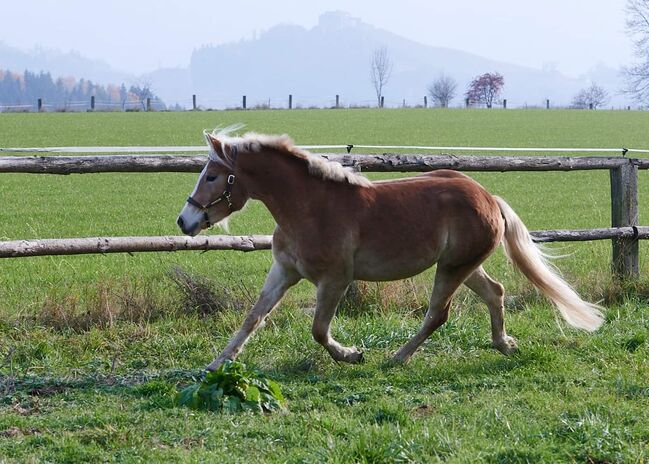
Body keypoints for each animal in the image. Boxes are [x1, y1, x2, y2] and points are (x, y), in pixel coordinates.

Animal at [177, 129, 604, 372]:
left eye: (212, 176)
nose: (185, 221)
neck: (310, 207)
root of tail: (488, 196)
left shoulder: (335, 280)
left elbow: (318, 330)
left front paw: (352, 354)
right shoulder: (284, 271)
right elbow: (254, 317)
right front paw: (216, 364)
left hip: (452, 268)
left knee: (438, 314)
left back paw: (397, 357)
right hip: (464, 266)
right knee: (494, 293)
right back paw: (504, 345)